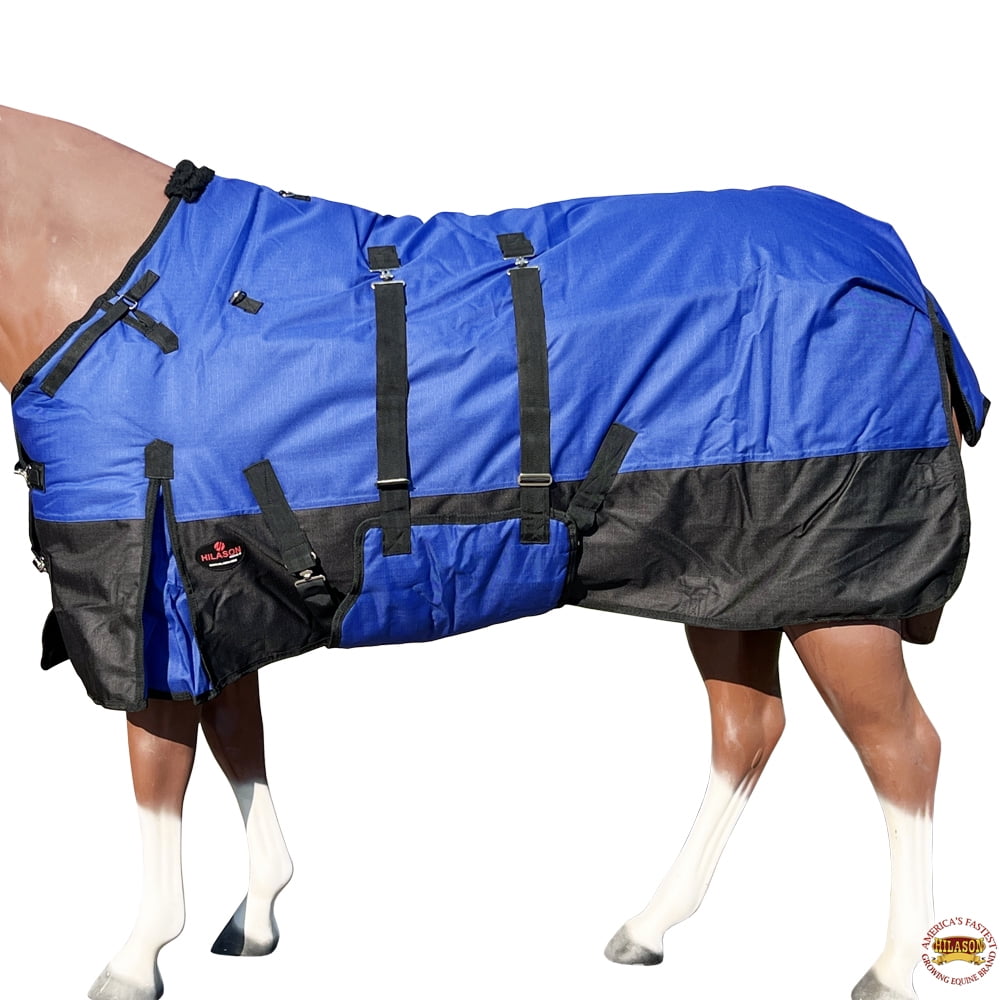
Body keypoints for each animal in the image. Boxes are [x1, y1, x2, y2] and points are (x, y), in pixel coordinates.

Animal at [0, 104, 987, 1000]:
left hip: (842, 597)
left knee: (903, 750)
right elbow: (237, 739)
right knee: (748, 731)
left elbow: (160, 768)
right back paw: (648, 926)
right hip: (732, 581)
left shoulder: (143, 596)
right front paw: (257, 916)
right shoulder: (210, 593)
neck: (117, 292)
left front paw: (137, 957)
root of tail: (900, 267)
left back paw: (892, 969)